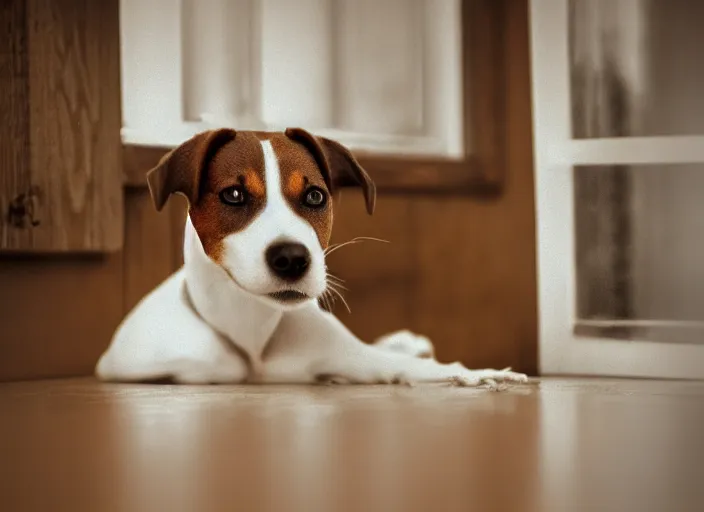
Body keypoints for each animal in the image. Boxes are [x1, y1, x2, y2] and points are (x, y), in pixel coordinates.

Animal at [96, 129, 528, 388]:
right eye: (233, 195)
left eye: (315, 196)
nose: (291, 257)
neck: (252, 332)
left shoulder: (341, 352)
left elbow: (404, 366)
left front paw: (470, 373)